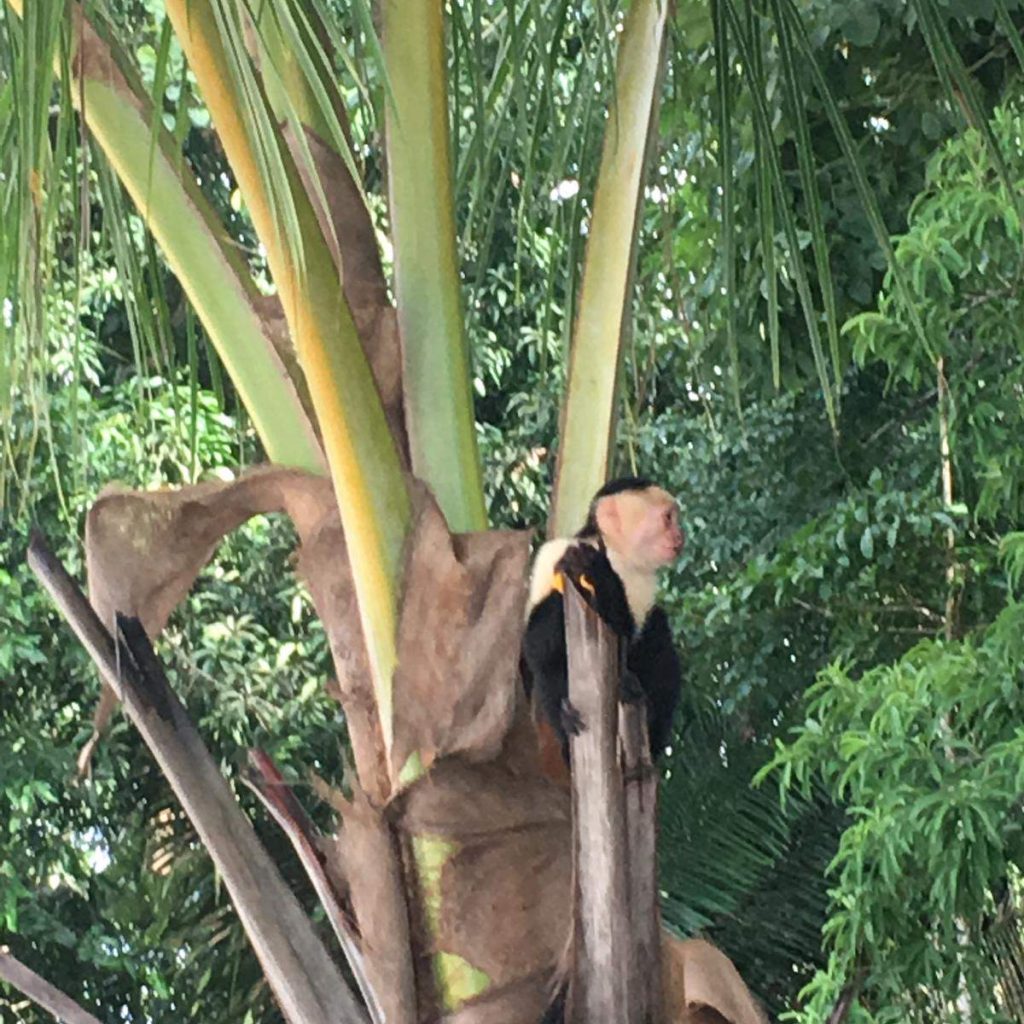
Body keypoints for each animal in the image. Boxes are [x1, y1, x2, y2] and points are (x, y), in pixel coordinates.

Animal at [521, 477, 684, 764]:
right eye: (668, 518)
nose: (679, 536)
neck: (615, 553)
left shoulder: (642, 580)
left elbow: (625, 629)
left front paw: (599, 574)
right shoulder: (553, 553)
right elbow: (535, 648)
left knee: (657, 630)